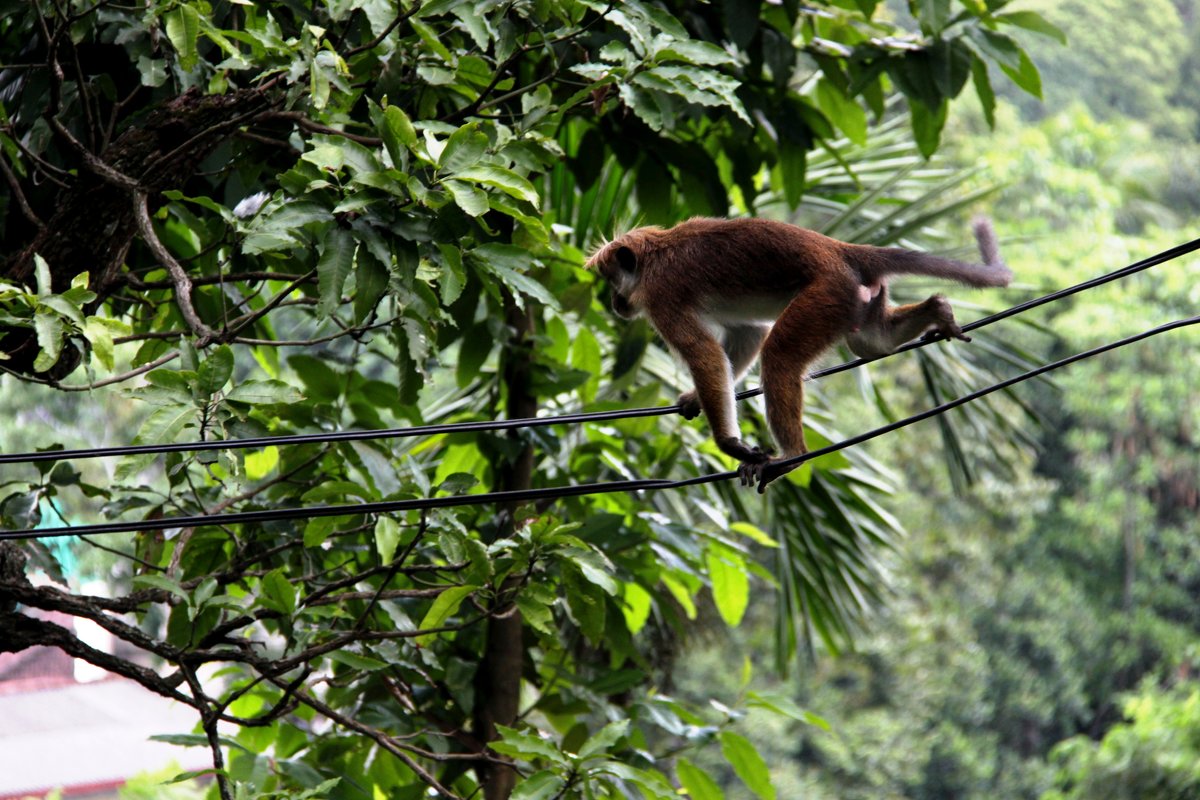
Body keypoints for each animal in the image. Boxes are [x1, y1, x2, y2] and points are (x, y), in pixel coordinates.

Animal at [585, 219, 1008, 494]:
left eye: (612, 282)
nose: (614, 302)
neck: (655, 253)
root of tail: (839, 251)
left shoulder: (660, 294)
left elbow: (706, 354)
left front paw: (729, 442)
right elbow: (747, 333)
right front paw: (694, 398)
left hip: (828, 293)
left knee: (780, 357)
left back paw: (793, 456)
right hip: (856, 297)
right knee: (873, 343)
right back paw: (938, 310)